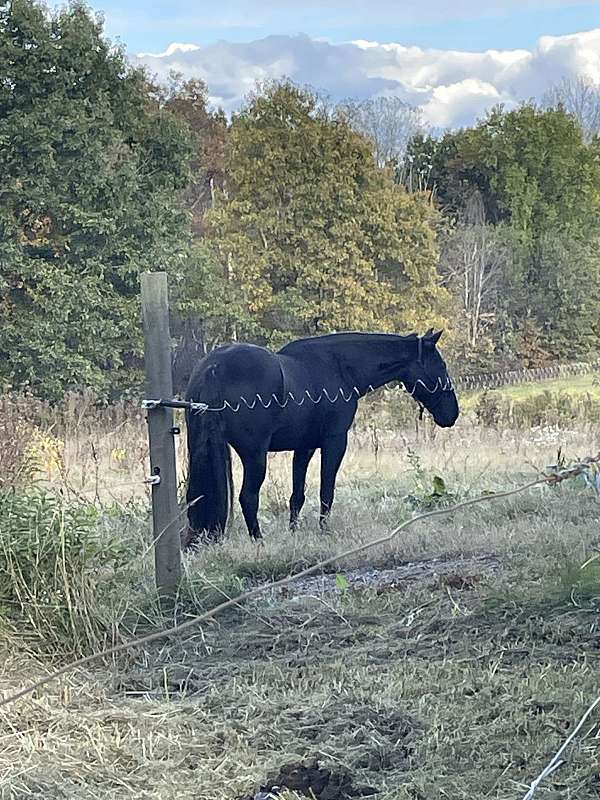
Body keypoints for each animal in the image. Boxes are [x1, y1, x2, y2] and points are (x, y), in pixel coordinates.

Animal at [184, 329, 459, 546]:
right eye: (441, 366)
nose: (452, 414)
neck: (338, 368)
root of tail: (214, 367)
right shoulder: (335, 442)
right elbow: (326, 492)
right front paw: (324, 532)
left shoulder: (303, 448)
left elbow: (297, 496)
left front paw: (294, 532)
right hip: (254, 455)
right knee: (248, 497)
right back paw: (259, 541)